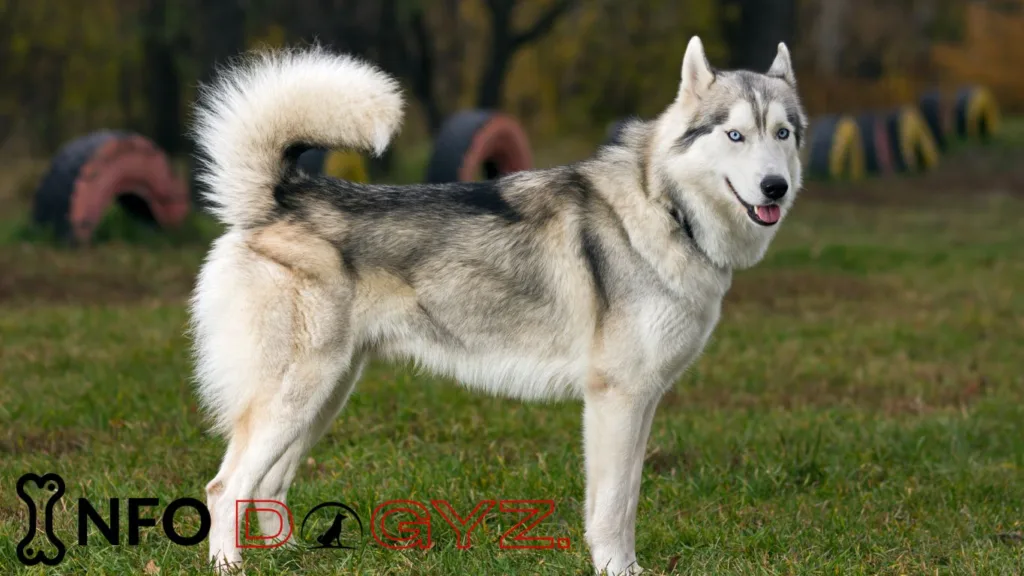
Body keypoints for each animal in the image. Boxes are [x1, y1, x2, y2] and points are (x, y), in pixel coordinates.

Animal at [188, 36, 802, 573]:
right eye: (734, 134)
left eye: (783, 133)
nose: (776, 187)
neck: (667, 209)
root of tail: (282, 197)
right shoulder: (616, 400)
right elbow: (612, 508)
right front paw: (617, 569)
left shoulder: (642, 401)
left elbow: (624, 498)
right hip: (297, 397)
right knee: (224, 488)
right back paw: (230, 566)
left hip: (324, 397)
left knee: (268, 485)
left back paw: (289, 557)